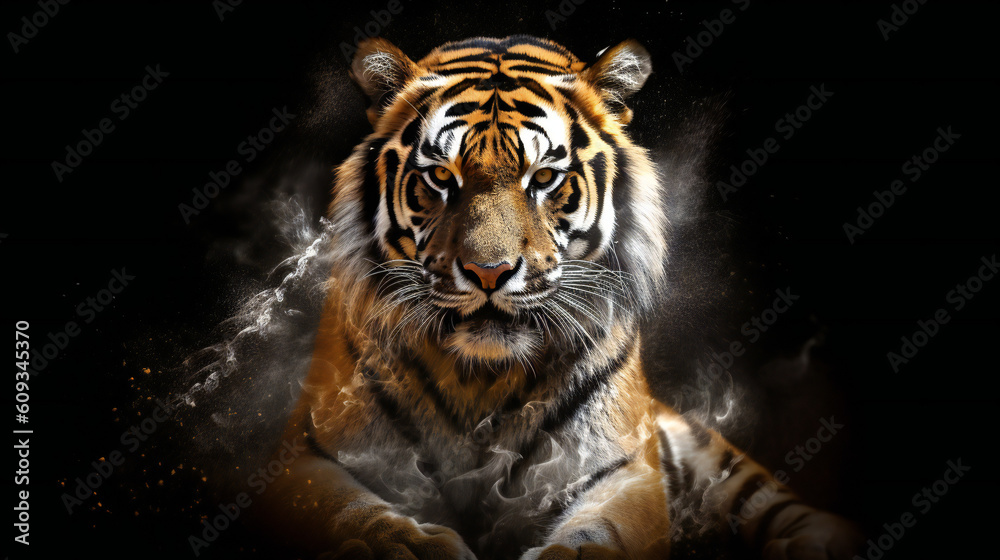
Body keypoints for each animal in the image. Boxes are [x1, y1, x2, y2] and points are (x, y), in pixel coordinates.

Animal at [255, 35, 863, 560]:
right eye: (441, 178)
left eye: (544, 177)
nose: (489, 272)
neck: (481, 376)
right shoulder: (306, 456)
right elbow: (354, 514)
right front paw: (411, 545)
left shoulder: (624, 467)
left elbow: (604, 530)